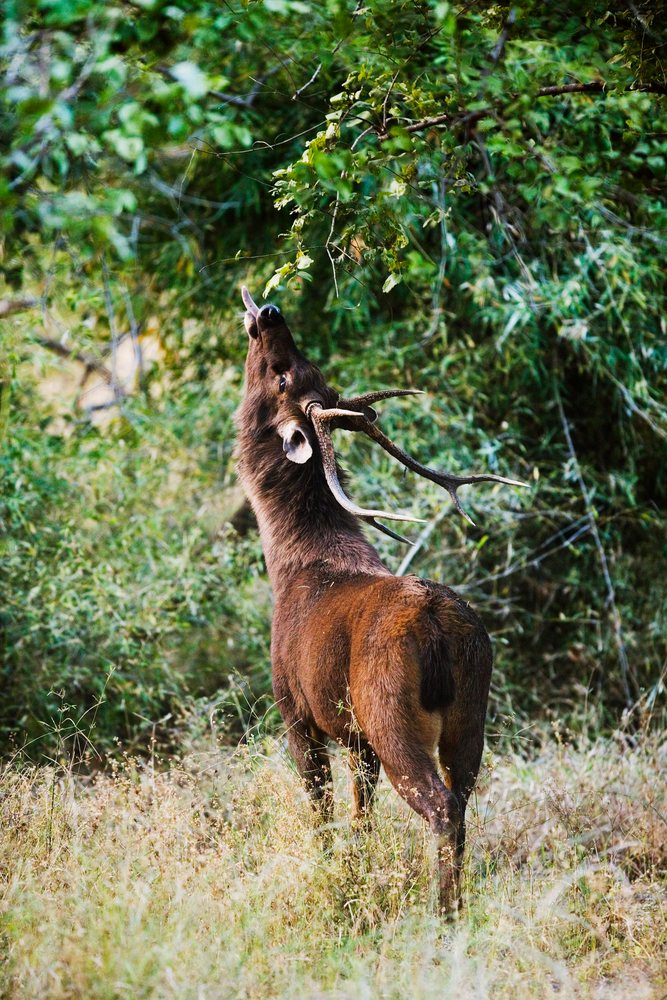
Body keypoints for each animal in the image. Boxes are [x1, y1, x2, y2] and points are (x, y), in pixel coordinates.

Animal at [235, 287, 525, 915]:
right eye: (304, 367)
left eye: (283, 373)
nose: (268, 310)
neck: (291, 564)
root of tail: (438, 630)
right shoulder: (356, 738)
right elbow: (362, 815)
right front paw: (359, 868)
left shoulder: (295, 708)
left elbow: (320, 809)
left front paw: (330, 876)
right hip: (470, 709)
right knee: (464, 796)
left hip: (388, 706)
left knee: (440, 805)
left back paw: (443, 913)